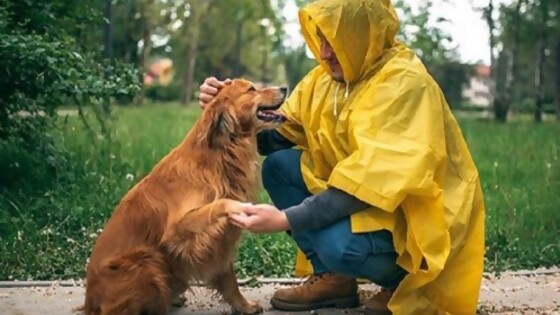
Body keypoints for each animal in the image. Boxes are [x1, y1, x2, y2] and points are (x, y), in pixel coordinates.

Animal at [78, 79, 286, 315]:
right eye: (251, 89)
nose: (285, 88)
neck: (217, 157)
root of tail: (90, 301)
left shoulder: (221, 241)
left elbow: (228, 276)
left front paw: (242, 305)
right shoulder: (179, 229)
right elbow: (220, 204)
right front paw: (236, 206)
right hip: (146, 262)